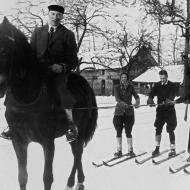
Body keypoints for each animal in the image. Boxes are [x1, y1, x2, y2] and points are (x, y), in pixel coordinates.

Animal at [0, 16, 97, 190]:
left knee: (77, 152)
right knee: (77, 152)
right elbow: (22, 176)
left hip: (79, 129)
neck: (28, 97)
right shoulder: (18, 141)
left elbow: (47, 177)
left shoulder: (48, 142)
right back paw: (78, 181)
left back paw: (74, 182)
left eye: (4, 51)